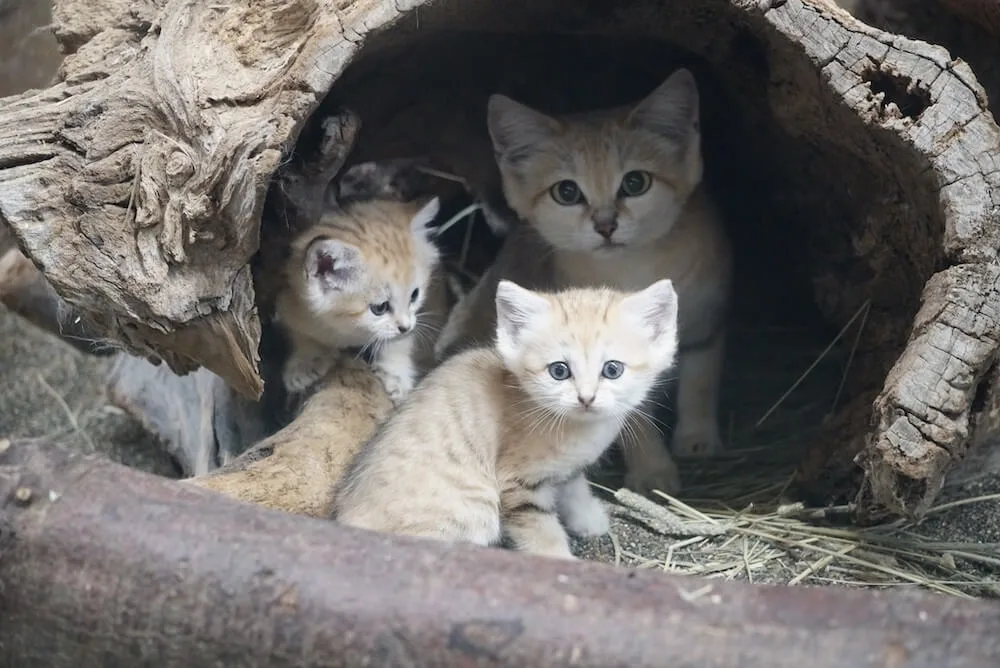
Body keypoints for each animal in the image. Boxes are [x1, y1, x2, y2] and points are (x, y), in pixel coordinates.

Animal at [336, 276, 680, 560]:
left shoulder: (567, 469)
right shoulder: (519, 485)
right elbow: (543, 534)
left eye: (612, 369)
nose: (586, 398)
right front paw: (563, 563)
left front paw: (589, 519)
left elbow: (574, 489)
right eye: (559, 371)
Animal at [434, 68, 732, 496]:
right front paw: (652, 470)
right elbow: (632, 415)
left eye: (636, 183)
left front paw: (698, 437)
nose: (605, 225)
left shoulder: (709, 315)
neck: (632, 269)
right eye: (567, 191)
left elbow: (701, 380)